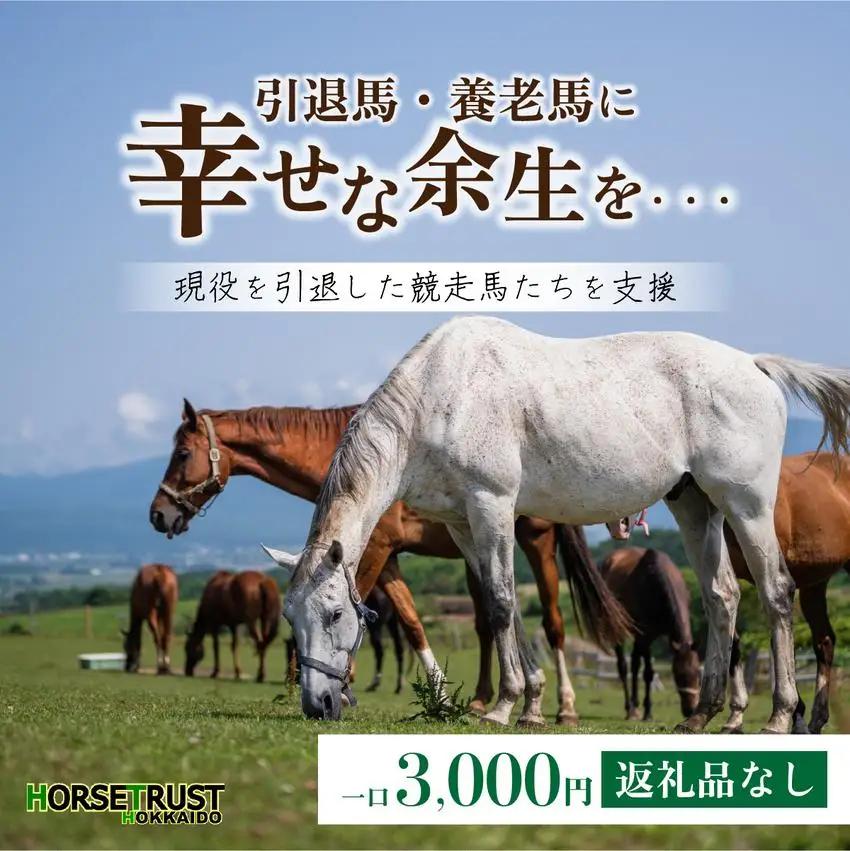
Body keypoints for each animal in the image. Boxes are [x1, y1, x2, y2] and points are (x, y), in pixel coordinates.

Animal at [151, 399, 629, 723]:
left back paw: (562, 707)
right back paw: (483, 699)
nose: (158, 513)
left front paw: (341, 684)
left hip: (537, 544)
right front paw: (438, 696)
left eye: (182, 454)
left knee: (553, 623)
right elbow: (412, 621)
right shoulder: (387, 557)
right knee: (490, 622)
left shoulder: (376, 551)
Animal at [600, 547, 700, 721]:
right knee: (624, 667)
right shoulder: (646, 636)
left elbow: (643, 669)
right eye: (678, 675)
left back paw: (635, 706)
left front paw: (645, 709)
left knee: (634, 663)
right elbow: (647, 673)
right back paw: (630, 708)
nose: (690, 710)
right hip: (619, 629)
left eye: (699, 674)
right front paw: (648, 712)